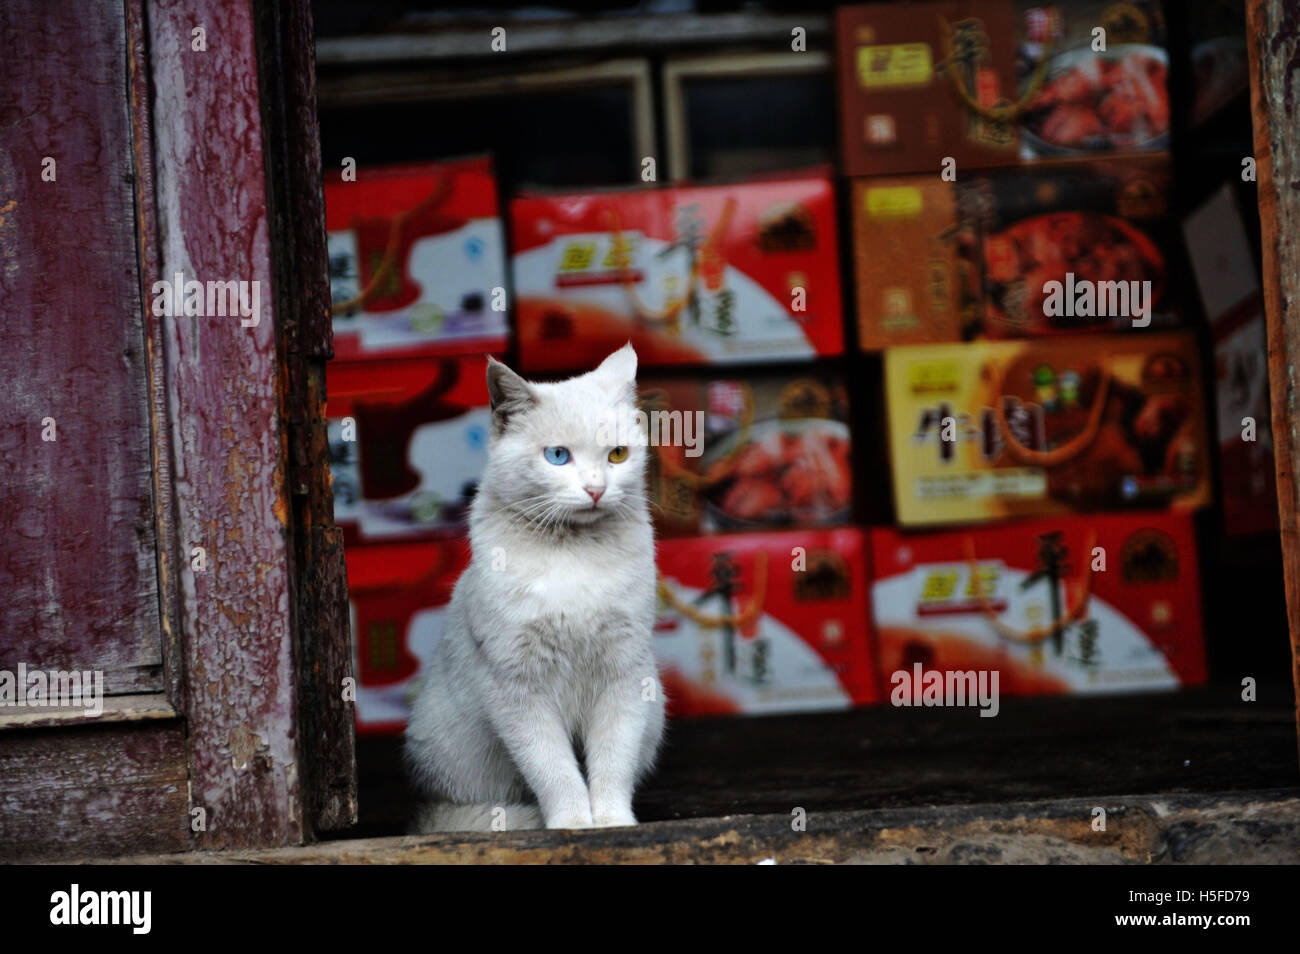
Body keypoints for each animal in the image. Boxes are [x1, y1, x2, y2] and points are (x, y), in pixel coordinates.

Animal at [403, 343, 670, 831]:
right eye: (558, 456)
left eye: (617, 455)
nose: (596, 489)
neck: (573, 554)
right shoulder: (517, 685)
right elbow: (553, 768)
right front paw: (573, 824)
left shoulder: (624, 673)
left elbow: (613, 759)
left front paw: (612, 821)